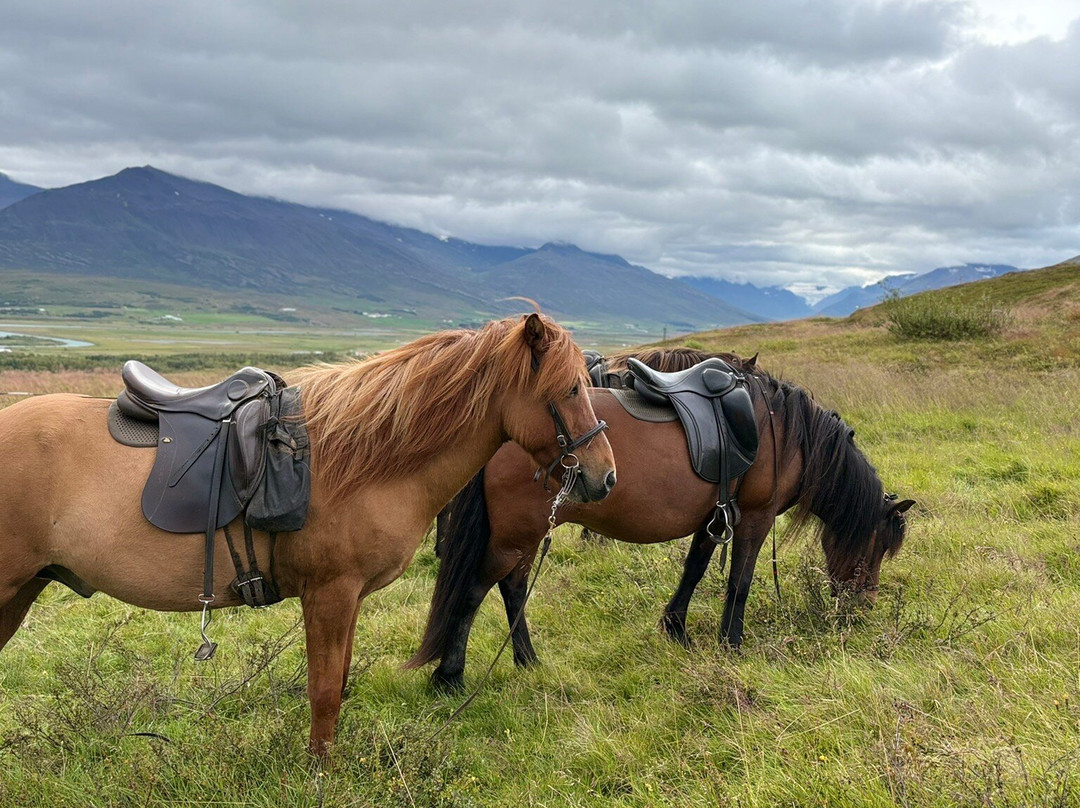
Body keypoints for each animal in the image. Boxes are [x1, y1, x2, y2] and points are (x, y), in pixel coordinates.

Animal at [0, 313, 616, 754]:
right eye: (569, 390)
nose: (605, 477)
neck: (366, 456)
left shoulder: (349, 599)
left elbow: (337, 682)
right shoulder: (329, 594)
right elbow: (323, 692)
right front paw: (320, 773)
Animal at [406, 348, 914, 691]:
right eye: (875, 547)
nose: (863, 608)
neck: (782, 430)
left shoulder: (716, 516)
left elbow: (695, 569)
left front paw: (677, 630)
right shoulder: (755, 517)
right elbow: (741, 581)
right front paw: (732, 644)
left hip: (530, 531)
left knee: (512, 586)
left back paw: (527, 660)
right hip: (517, 532)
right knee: (478, 587)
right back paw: (450, 675)